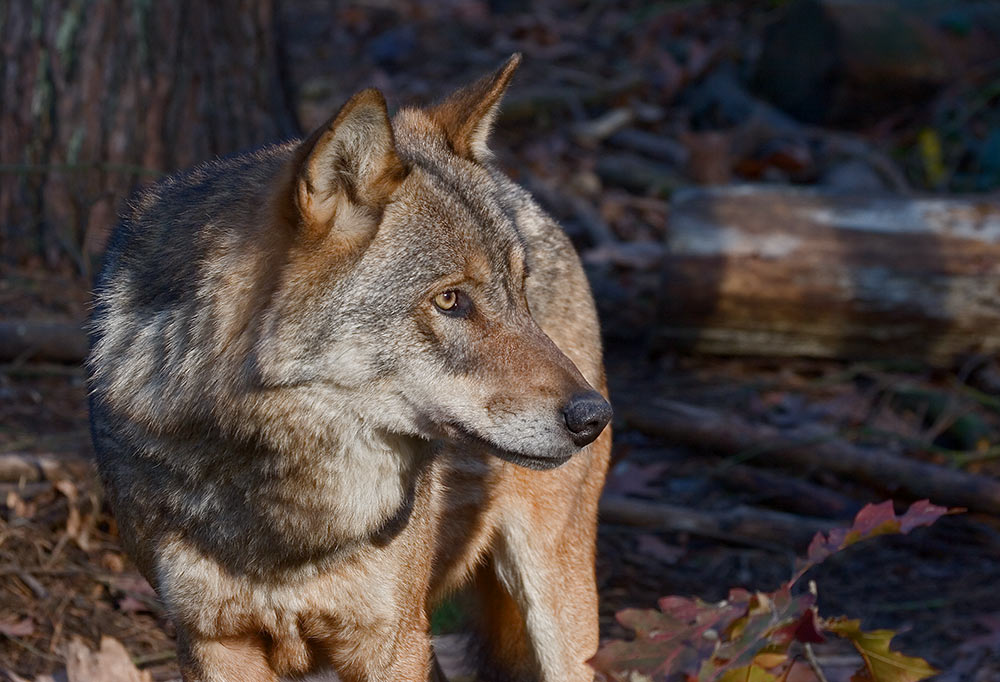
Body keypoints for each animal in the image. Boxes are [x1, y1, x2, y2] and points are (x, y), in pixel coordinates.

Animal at [90, 55, 612, 680]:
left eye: (519, 291)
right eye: (450, 299)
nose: (594, 417)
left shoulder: (391, 640)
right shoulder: (211, 642)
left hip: (556, 607)